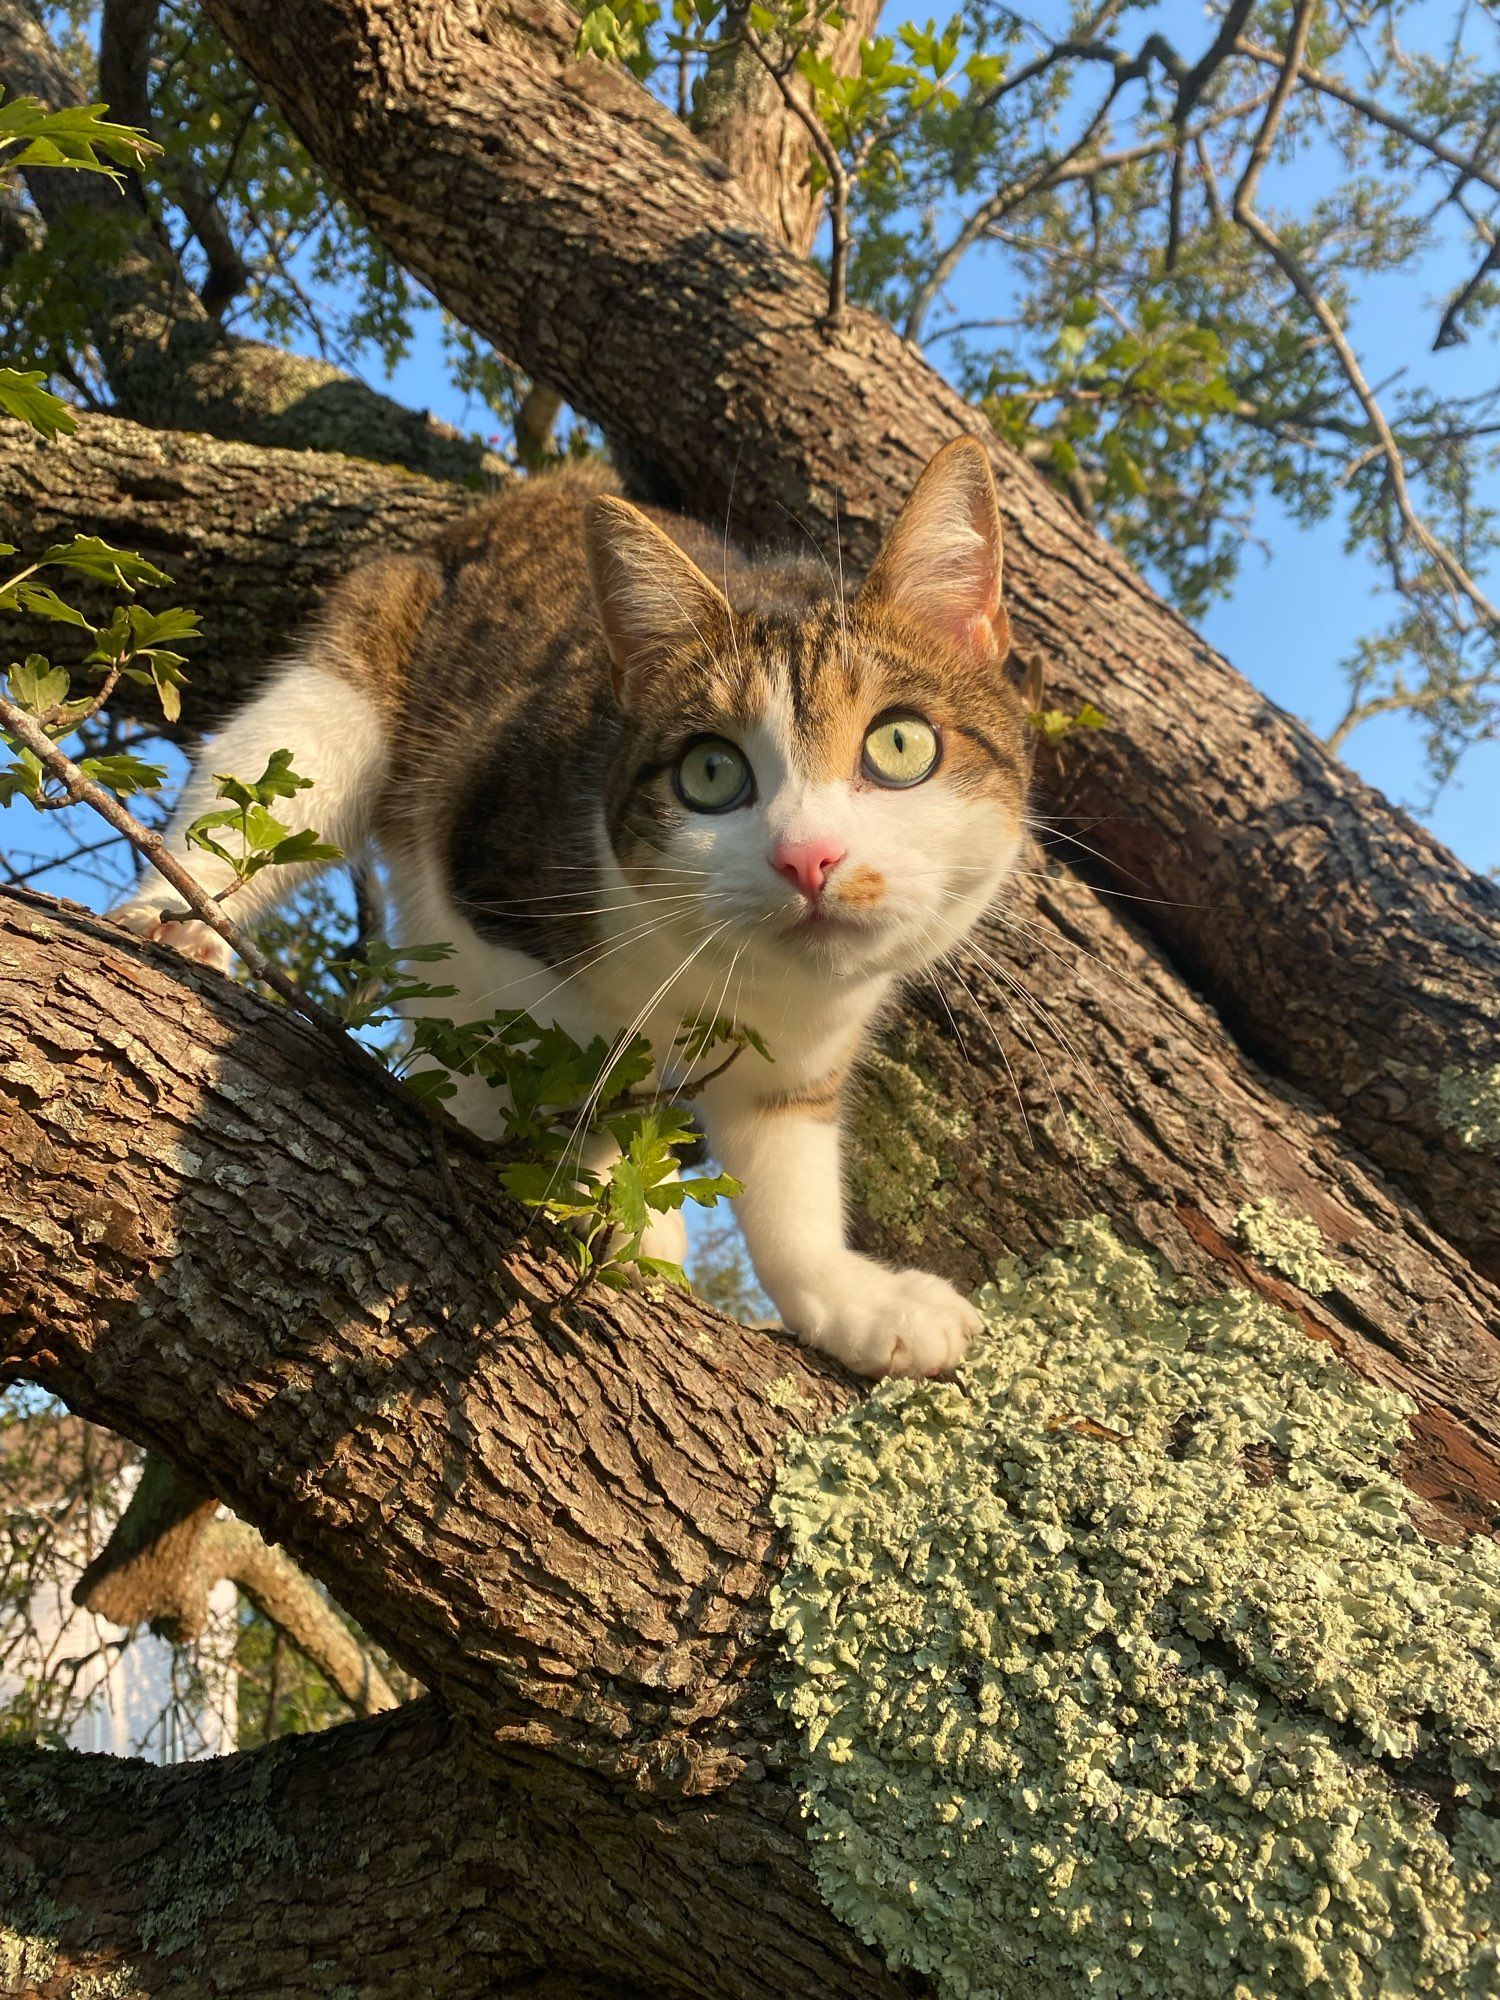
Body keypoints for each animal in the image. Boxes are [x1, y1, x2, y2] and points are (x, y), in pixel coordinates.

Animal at [117, 436, 1040, 1376]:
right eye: (711, 772)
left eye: (900, 744)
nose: (807, 856)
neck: (719, 974)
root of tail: (528, 498)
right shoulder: (490, 886)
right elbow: (566, 1053)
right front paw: (606, 1192)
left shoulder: (804, 1042)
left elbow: (786, 1165)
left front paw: (853, 1297)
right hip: (351, 676)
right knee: (262, 789)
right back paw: (177, 920)